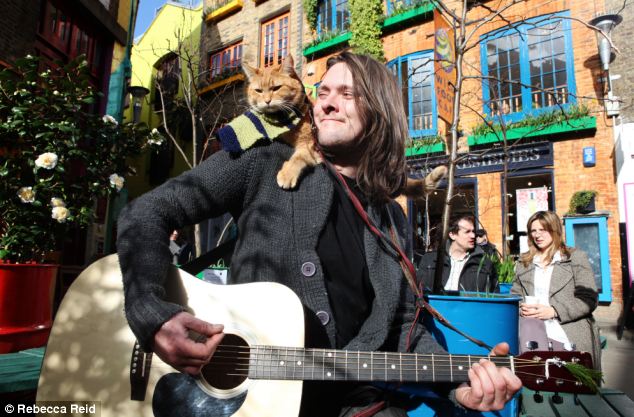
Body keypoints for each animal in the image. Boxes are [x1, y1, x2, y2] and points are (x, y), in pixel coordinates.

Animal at [241, 55, 444, 195]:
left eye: (276, 88)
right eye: (258, 90)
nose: (266, 101)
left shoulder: (312, 146)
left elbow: (298, 157)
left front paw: (288, 173)